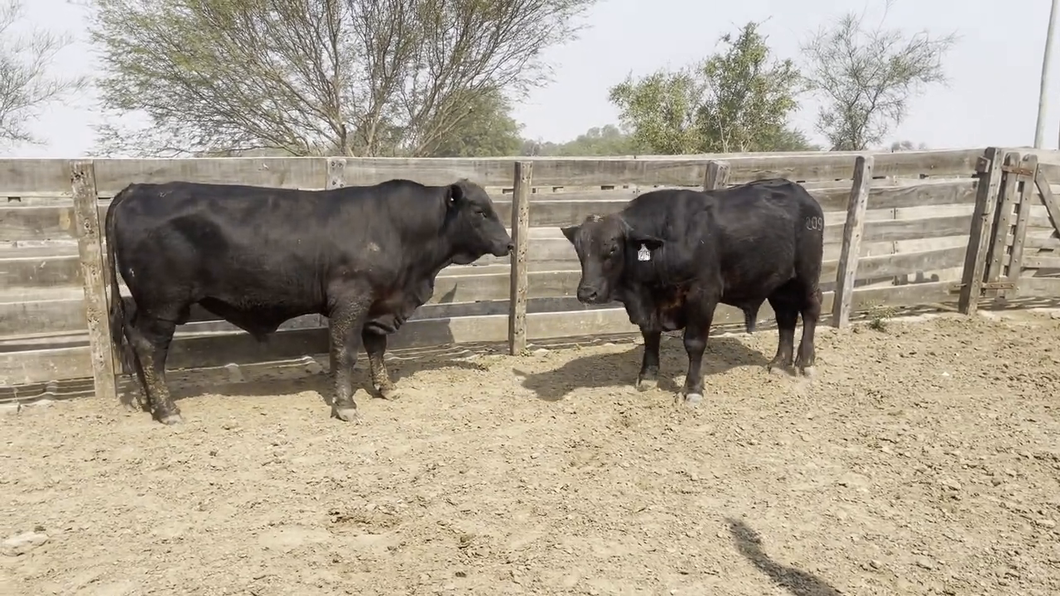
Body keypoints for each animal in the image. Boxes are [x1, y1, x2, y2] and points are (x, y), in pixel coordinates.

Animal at [104, 176, 513, 422]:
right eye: (480, 211)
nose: (508, 244)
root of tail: (138, 188)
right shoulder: (350, 298)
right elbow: (344, 351)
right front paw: (345, 405)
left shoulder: (377, 306)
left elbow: (377, 347)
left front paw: (385, 389)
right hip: (163, 303)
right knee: (150, 348)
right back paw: (166, 409)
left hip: (145, 305)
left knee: (137, 343)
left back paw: (149, 401)